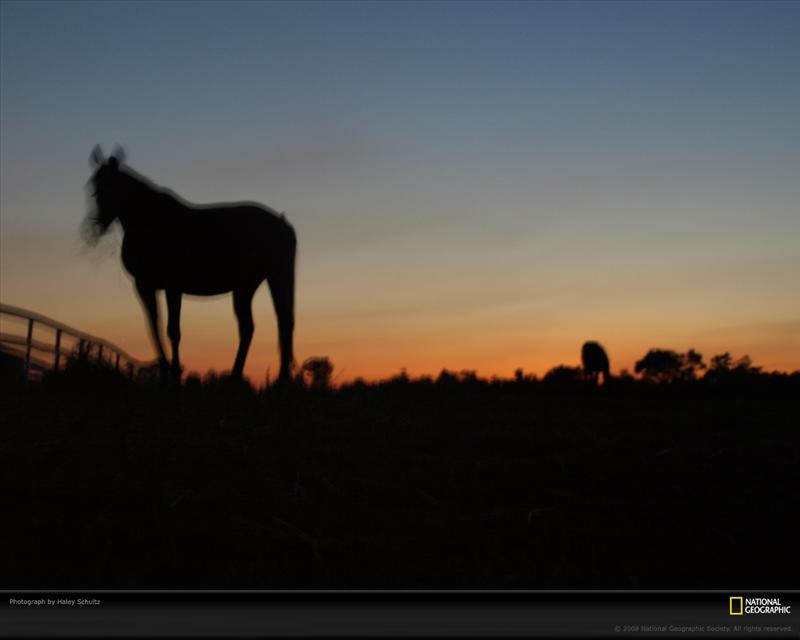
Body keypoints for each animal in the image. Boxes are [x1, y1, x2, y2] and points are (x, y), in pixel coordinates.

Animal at [85, 146, 296, 384]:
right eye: (93, 187)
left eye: (111, 186)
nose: (96, 227)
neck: (150, 220)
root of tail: (282, 223)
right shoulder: (145, 285)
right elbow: (154, 328)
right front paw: (167, 372)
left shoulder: (172, 287)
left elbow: (173, 331)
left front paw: (174, 375)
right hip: (253, 285)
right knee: (261, 326)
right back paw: (248, 378)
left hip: (269, 280)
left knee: (275, 325)